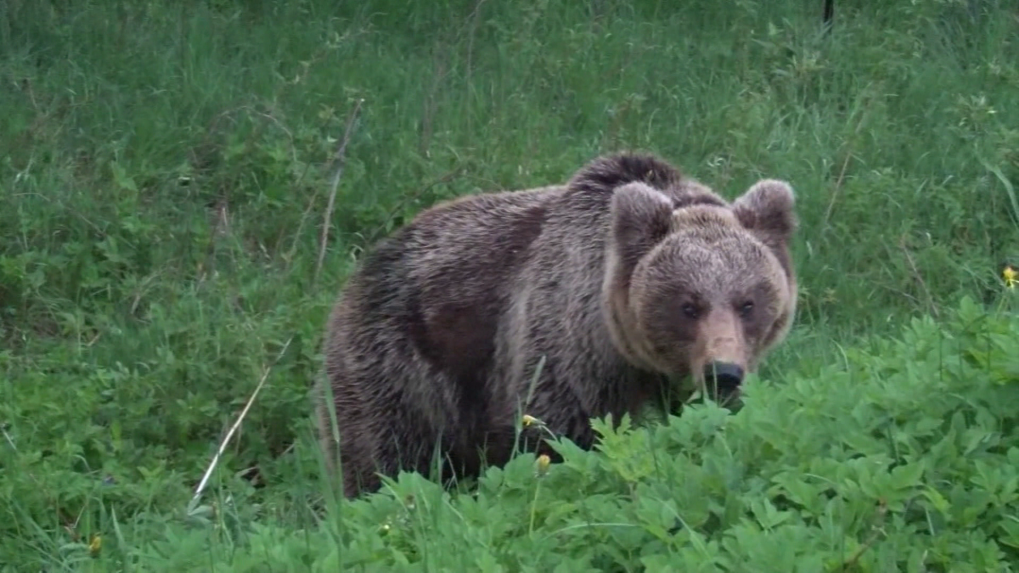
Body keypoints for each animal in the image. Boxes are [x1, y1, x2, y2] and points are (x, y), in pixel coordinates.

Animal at [313, 150, 798, 495]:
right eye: (688, 305)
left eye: (748, 302)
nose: (723, 372)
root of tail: (363, 266)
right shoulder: (564, 348)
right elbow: (558, 437)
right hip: (399, 365)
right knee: (383, 457)